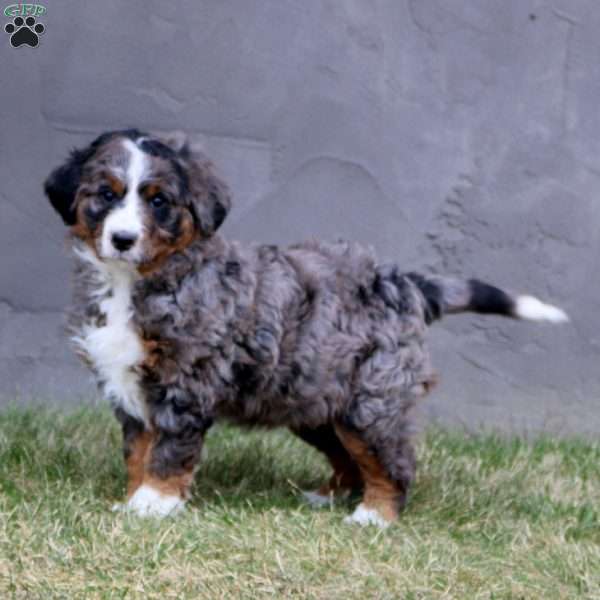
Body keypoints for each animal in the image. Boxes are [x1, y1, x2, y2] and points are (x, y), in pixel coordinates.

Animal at [44, 129, 568, 528]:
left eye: (159, 202)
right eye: (106, 194)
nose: (122, 239)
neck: (134, 281)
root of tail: (407, 283)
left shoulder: (185, 381)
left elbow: (169, 449)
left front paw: (155, 503)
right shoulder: (129, 388)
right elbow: (137, 450)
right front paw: (132, 500)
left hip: (372, 399)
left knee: (392, 462)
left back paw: (375, 516)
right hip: (315, 404)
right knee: (349, 456)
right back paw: (330, 496)